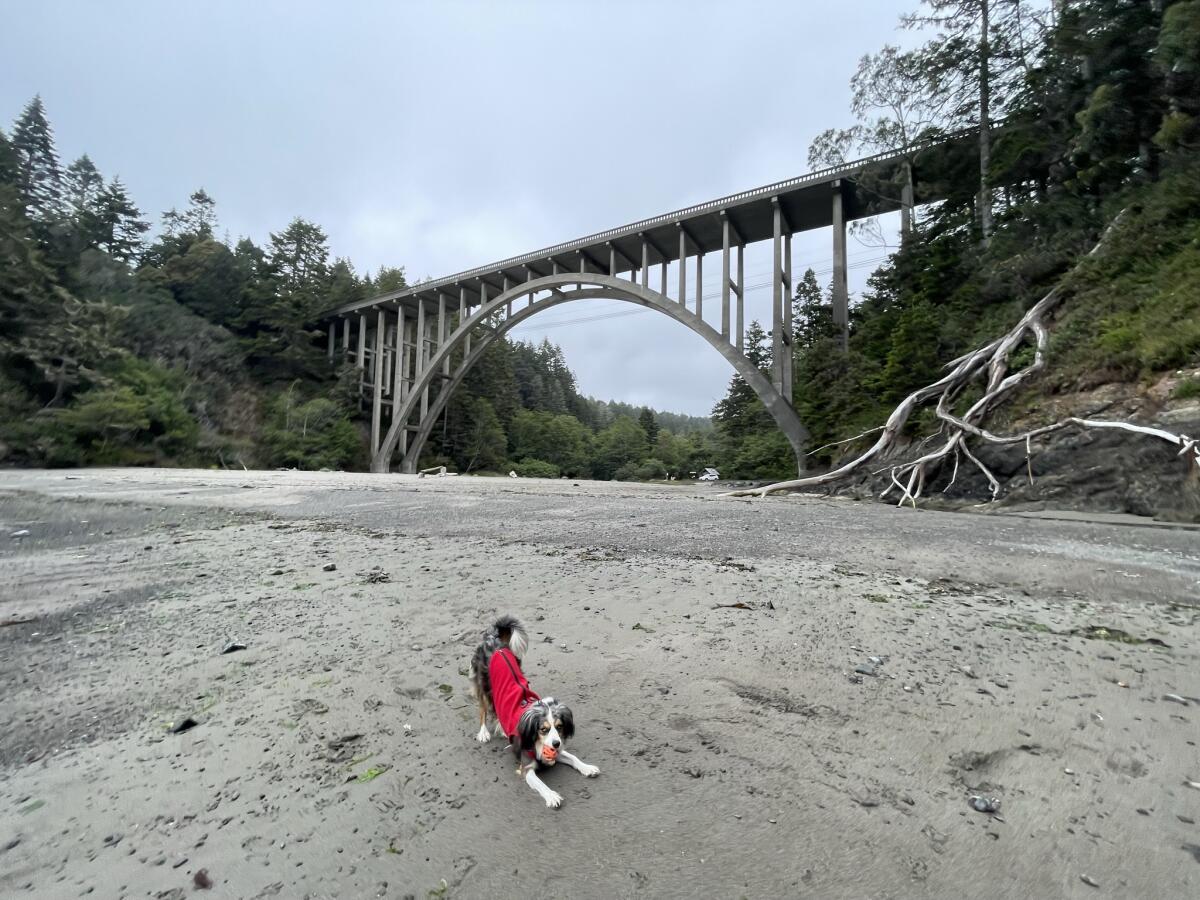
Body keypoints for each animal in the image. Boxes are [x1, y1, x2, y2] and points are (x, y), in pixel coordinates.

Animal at [468, 619, 600, 806]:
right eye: (543, 729)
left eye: (559, 727)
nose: (556, 744)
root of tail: (493, 640)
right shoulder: (526, 767)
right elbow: (540, 783)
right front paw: (552, 796)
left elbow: (573, 758)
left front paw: (587, 768)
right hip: (484, 686)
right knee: (483, 709)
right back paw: (483, 732)